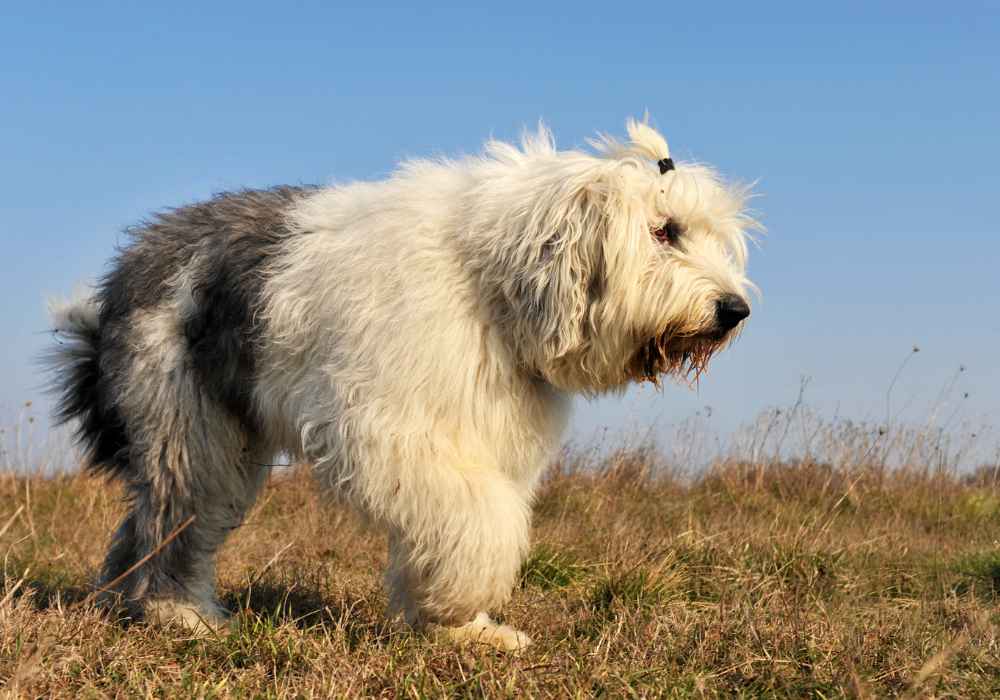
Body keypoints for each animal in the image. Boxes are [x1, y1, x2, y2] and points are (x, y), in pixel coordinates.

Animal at [43, 119, 752, 652]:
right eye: (664, 231)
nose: (734, 310)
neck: (490, 280)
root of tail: (127, 268)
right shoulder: (390, 427)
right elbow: (478, 516)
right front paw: (460, 606)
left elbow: (468, 517)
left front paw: (463, 629)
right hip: (187, 422)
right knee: (175, 512)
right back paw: (177, 614)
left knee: (149, 520)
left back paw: (128, 602)